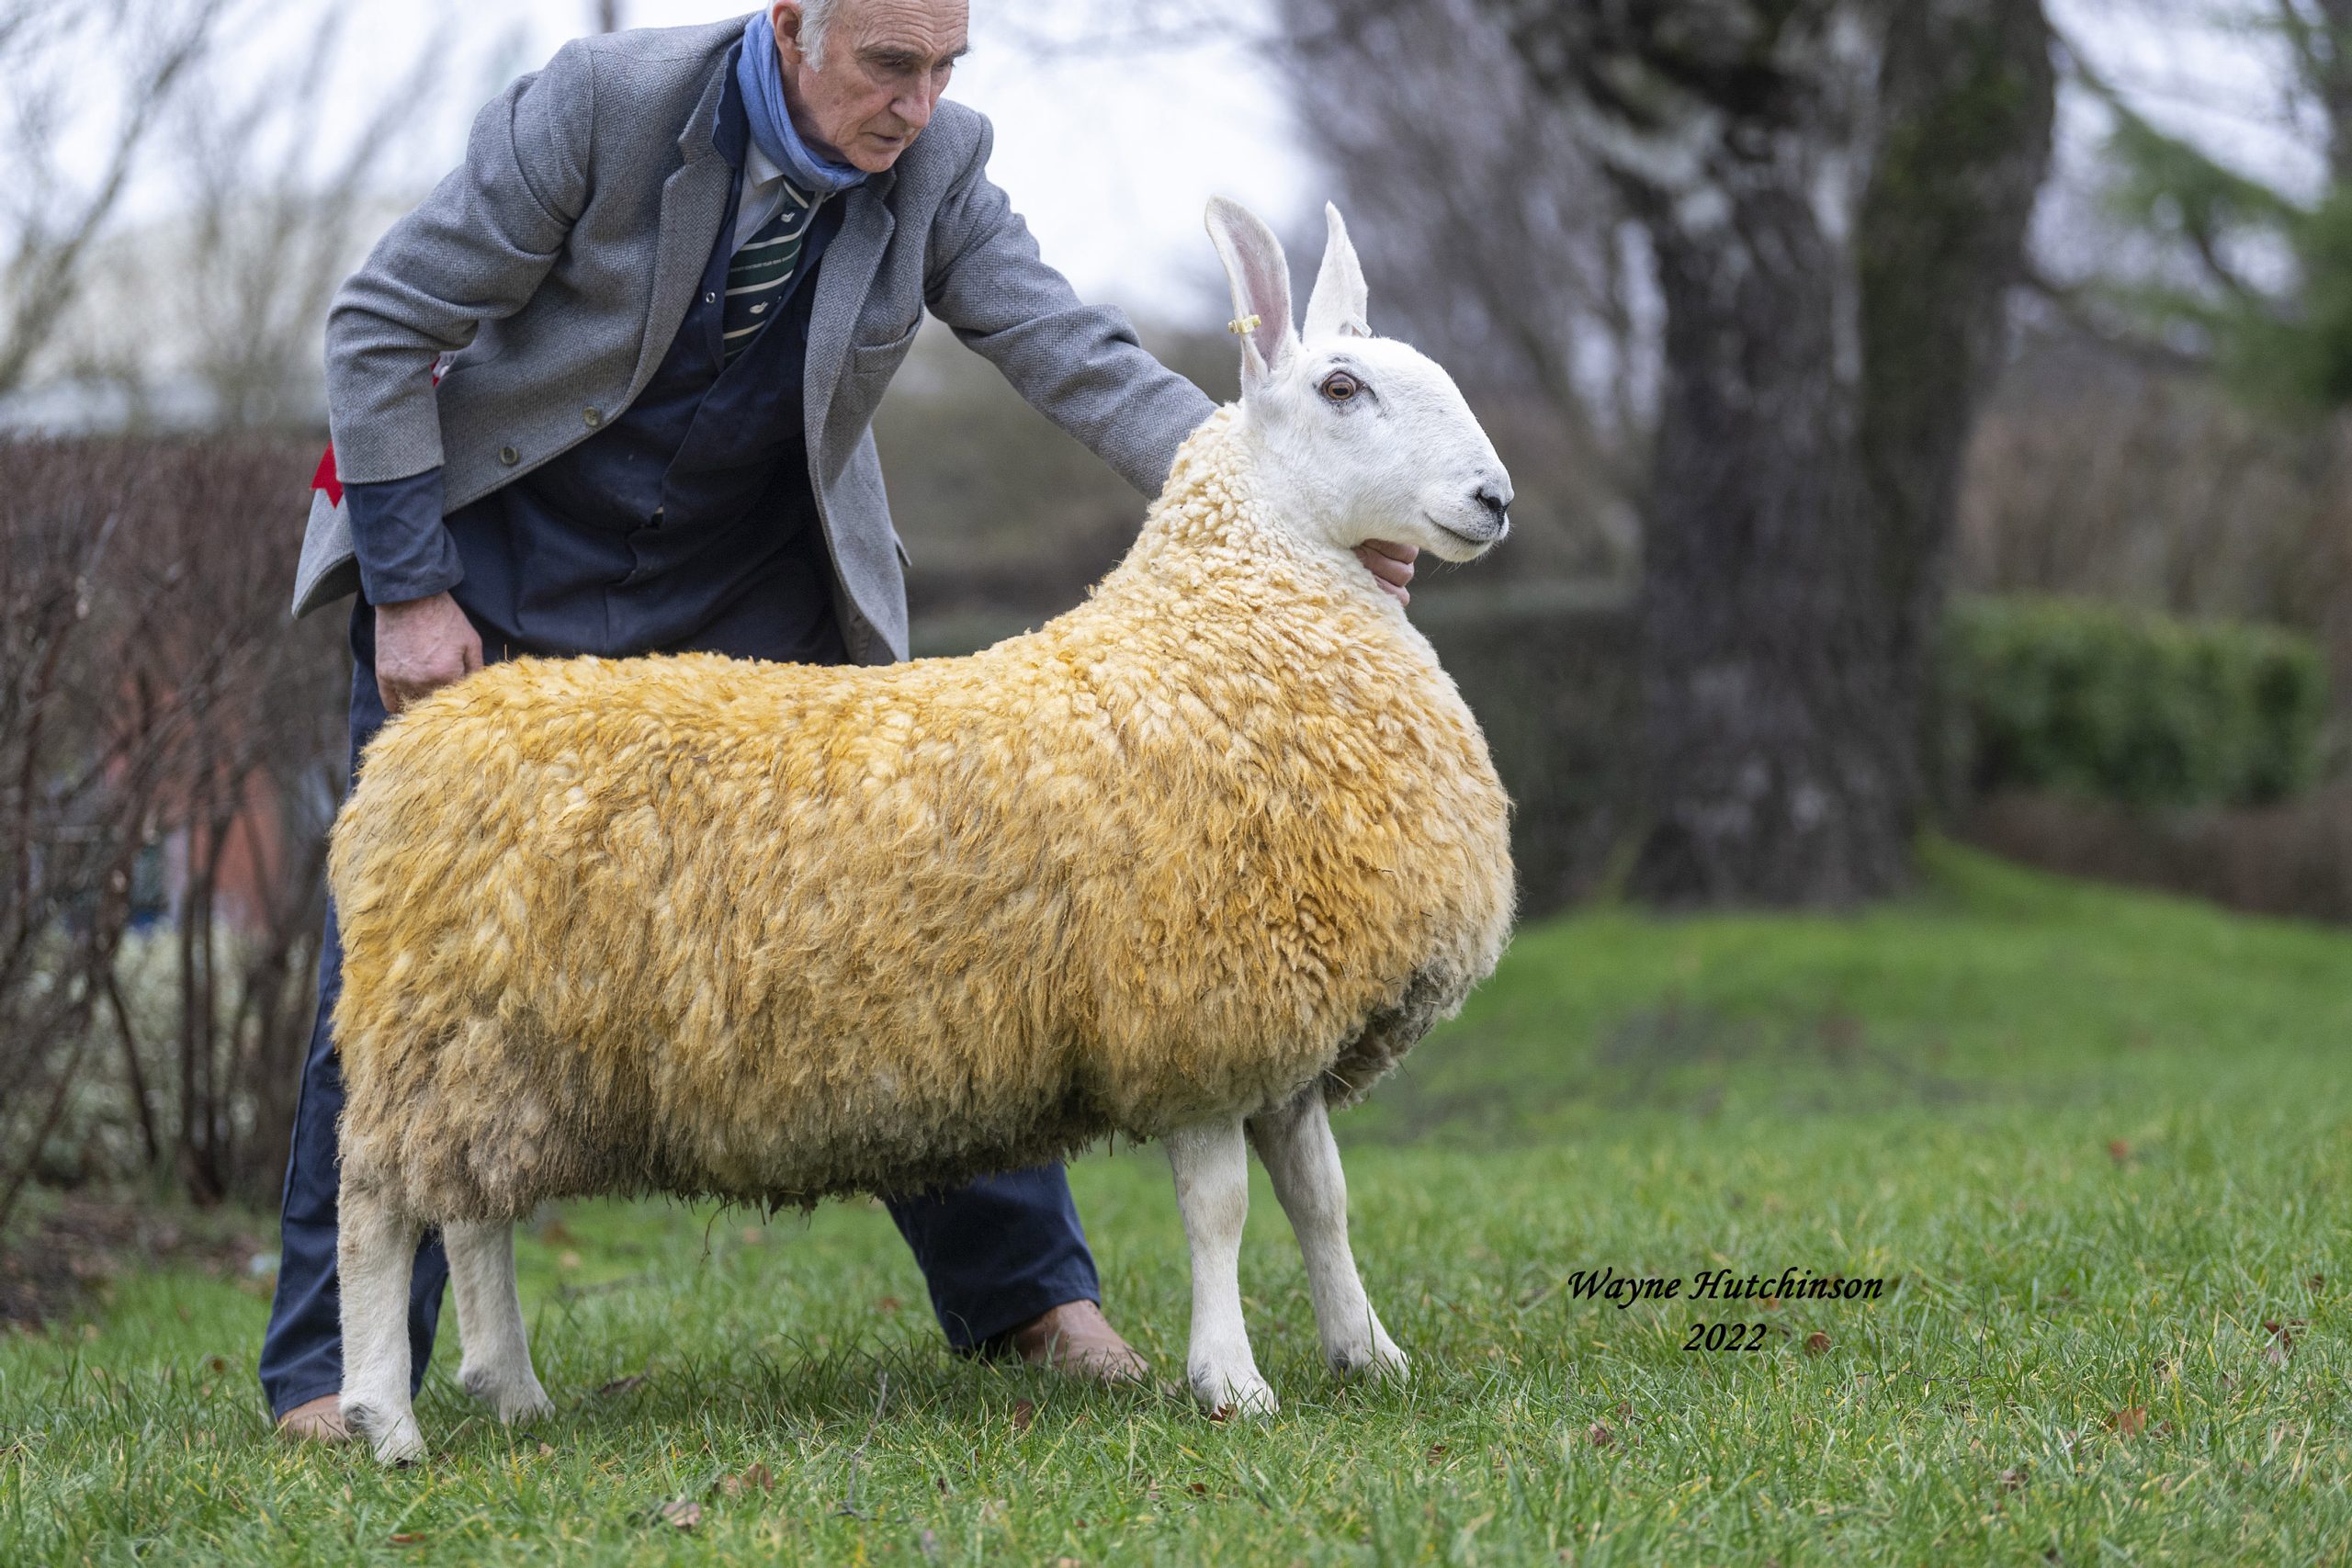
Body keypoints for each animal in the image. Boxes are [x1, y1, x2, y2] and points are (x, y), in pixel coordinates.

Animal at [331, 199, 1514, 1476]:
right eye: (1343, 388)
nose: (1494, 500)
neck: (1222, 631)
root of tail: (412, 744)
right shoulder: (1190, 1007)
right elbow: (1221, 1211)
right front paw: (1231, 1383)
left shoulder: (1288, 1017)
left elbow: (1320, 1199)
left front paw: (1367, 1354)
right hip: (438, 1023)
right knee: (376, 1214)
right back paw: (381, 1418)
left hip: (494, 1046)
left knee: (472, 1211)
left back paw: (509, 1390)